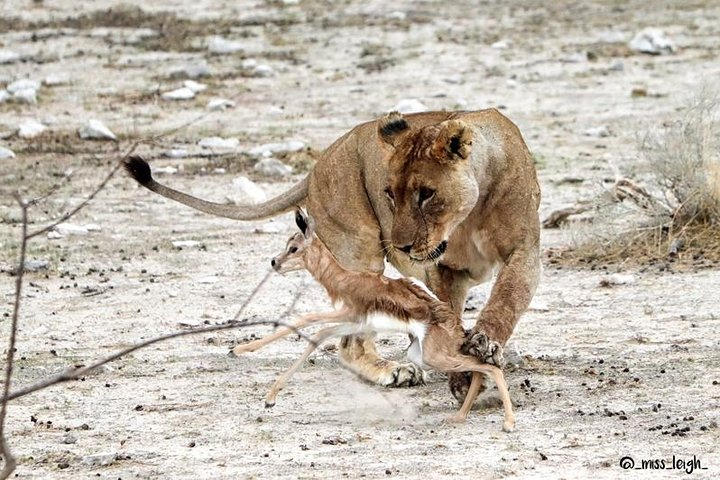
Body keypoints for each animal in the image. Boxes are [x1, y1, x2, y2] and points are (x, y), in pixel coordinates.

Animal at [233, 210, 516, 432]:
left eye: (294, 247)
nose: (275, 262)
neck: (344, 279)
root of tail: (457, 330)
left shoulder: (348, 314)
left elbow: (310, 321)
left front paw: (245, 357)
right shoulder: (355, 323)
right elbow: (317, 332)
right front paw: (264, 389)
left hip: (435, 357)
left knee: (489, 367)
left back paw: (508, 423)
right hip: (421, 356)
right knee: (481, 366)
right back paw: (459, 417)